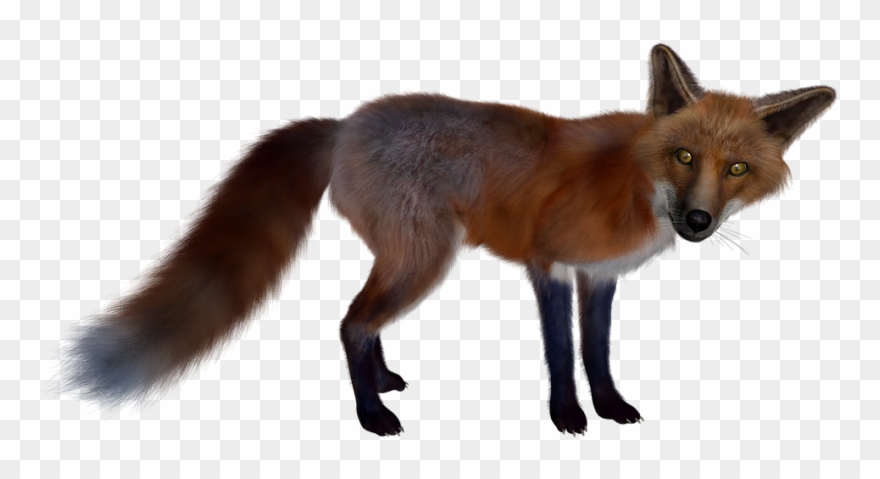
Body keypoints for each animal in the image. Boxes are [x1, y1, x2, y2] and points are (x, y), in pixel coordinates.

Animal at [63, 44, 835, 436]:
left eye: (736, 169)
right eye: (683, 155)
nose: (697, 222)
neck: (633, 180)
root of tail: (344, 124)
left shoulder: (600, 275)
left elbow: (598, 351)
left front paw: (611, 406)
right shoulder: (549, 265)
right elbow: (562, 355)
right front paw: (567, 416)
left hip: (406, 259)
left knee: (363, 322)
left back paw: (382, 382)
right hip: (424, 259)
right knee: (350, 322)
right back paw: (371, 413)